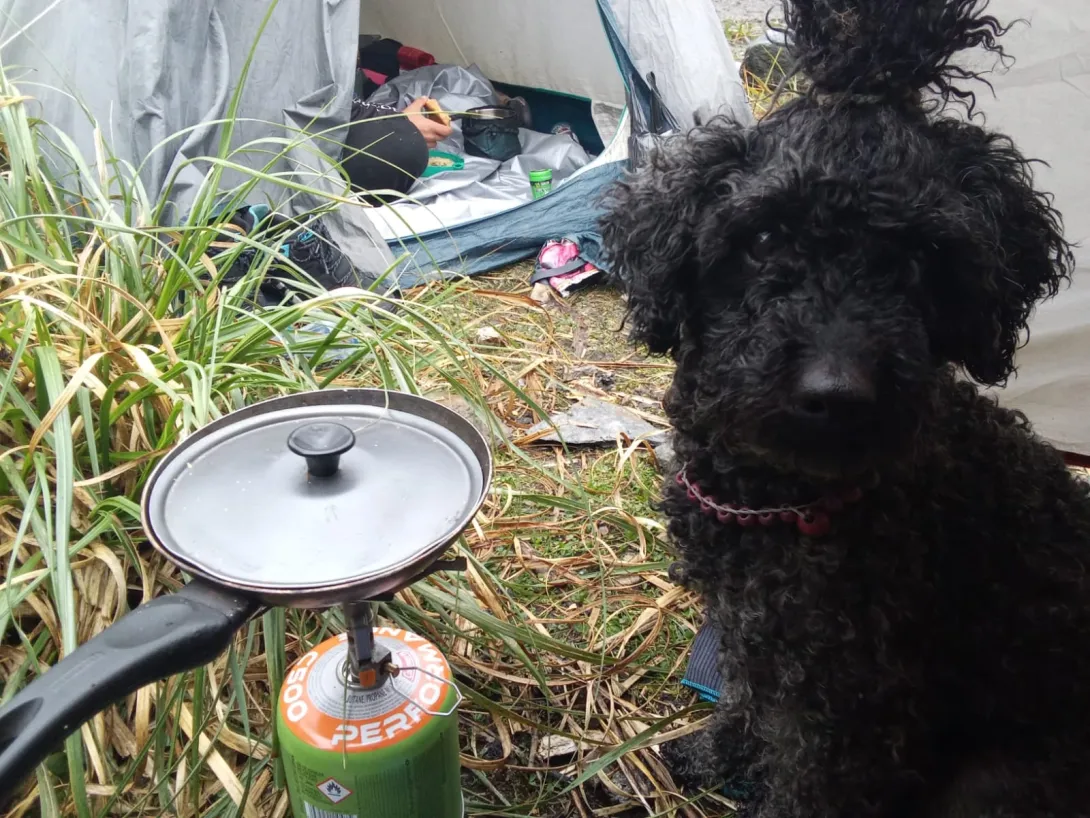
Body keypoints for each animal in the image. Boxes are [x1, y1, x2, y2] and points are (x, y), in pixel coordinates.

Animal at [601, 1, 1090, 818]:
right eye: (765, 237)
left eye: (925, 258)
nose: (835, 394)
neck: (779, 505)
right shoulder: (761, 636)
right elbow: (749, 700)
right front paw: (721, 750)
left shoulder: (851, 697)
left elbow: (808, 783)